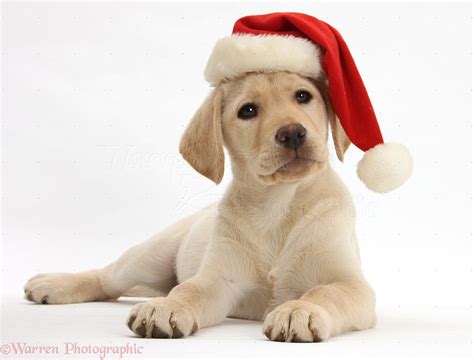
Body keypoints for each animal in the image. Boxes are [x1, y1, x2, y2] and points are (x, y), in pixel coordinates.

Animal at [24, 71, 376, 344]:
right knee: (108, 280)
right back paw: (55, 285)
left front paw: (298, 309)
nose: (293, 133)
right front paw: (167, 307)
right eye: (248, 111)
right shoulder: (219, 280)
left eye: (303, 96)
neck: (279, 203)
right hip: (150, 256)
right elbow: (189, 290)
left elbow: (325, 293)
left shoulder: (354, 285)